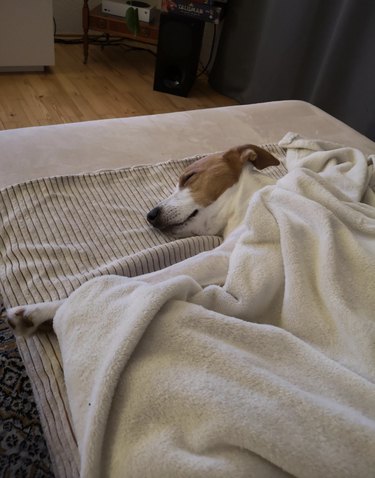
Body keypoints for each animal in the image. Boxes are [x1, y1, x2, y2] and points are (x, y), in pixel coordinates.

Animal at [5, 146, 280, 336]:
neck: (247, 201)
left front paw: (41, 310)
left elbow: (144, 279)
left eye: (189, 177)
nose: (151, 215)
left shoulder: (221, 256)